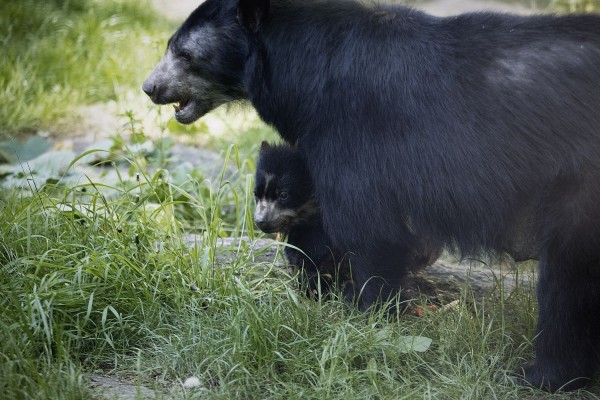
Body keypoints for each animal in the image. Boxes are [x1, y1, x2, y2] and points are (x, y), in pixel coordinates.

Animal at [143, 0, 600, 390]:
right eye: (170, 47)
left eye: (184, 54)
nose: (149, 88)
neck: (303, 67)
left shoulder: (350, 134)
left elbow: (371, 234)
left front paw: (366, 321)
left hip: (576, 183)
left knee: (565, 282)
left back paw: (541, 375)